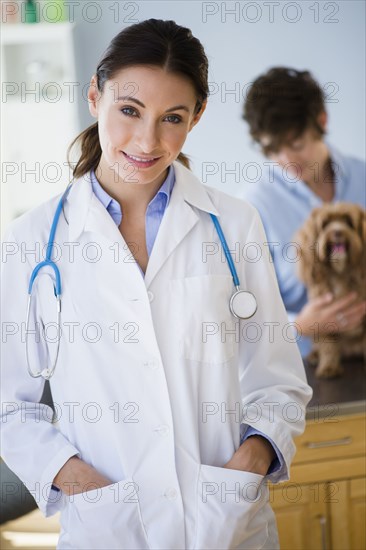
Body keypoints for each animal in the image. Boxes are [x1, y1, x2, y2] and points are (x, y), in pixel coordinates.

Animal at [294, 203, 366, 380]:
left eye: (348, 222)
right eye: (325, 224)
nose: (337, 232)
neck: (340, 273)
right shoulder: (323, 318)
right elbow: (328, 346)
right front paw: (329, 367)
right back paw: (314, 356)